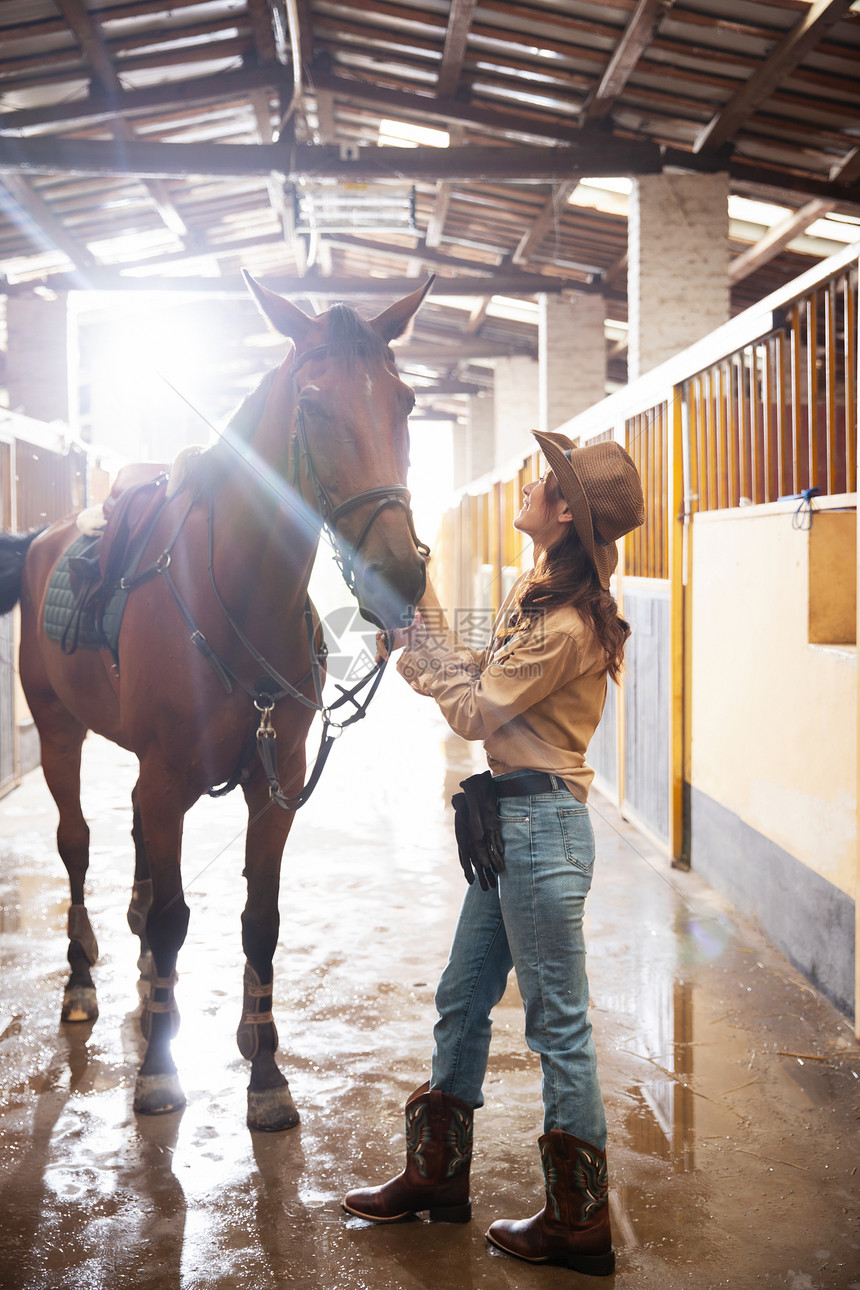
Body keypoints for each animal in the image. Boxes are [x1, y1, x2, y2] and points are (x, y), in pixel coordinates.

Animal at [0, 274, 430, 1130]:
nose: (398, 575)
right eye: (312, 404)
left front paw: (265, 1074)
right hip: (61, 733)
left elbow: (258, 923)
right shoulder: (167, 779)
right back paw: (82, 982)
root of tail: (45, 537)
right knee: (77, 845)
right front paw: (159, 1075)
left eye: (403, 402)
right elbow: (173, 918)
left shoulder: (274, 783)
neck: (238, 593)